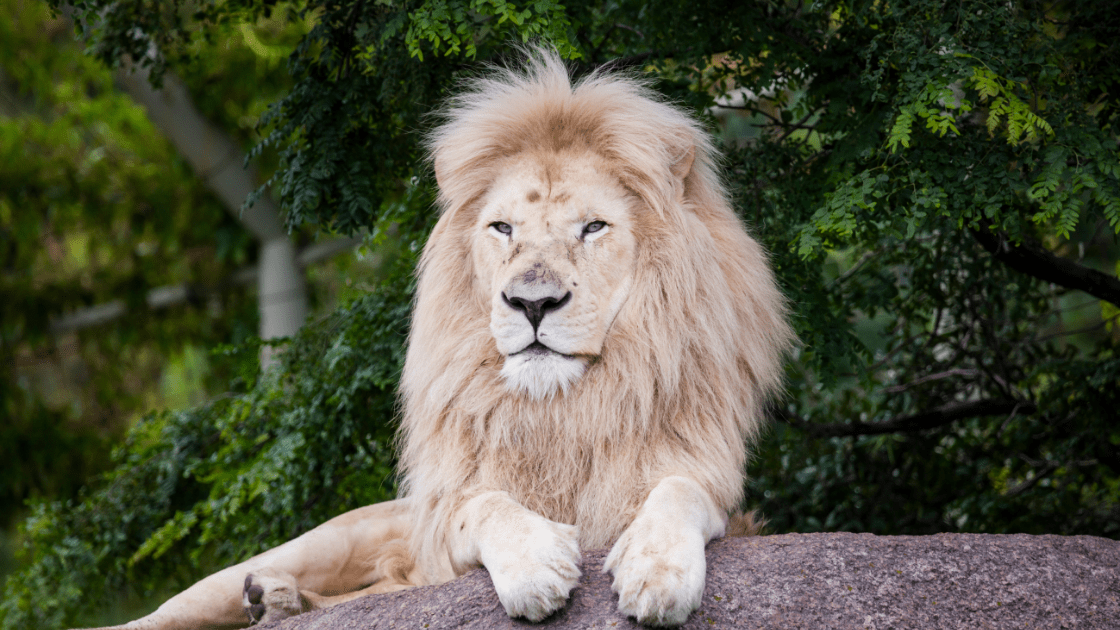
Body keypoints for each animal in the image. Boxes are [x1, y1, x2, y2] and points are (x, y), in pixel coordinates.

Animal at [83, 48, 793, 630]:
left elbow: (679, 492)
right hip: (319, 544)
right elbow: (482, 507)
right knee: (166, 613)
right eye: (503, 228)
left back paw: (278, 601)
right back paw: (263, 597)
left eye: (594, 228)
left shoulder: (712, 488)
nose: (532, 303)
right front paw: (537, 567)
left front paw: (657, 571)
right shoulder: (445, 531)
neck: (560, 410)